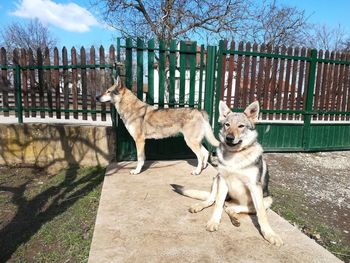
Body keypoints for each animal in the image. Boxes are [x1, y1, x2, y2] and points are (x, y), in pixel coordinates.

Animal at [174, 101, 284, 248]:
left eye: (241, 126)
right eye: (227, 125)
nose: (229, 138)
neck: (235, 156)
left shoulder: (255, 187)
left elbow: (261, 214)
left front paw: (270, 234)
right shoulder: (223, 181)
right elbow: (218, 205)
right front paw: (213, 222)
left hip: (267, 200)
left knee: (233, 208)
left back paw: (235, 217)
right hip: (216, 180)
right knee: (213, 201)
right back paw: (199, 206)